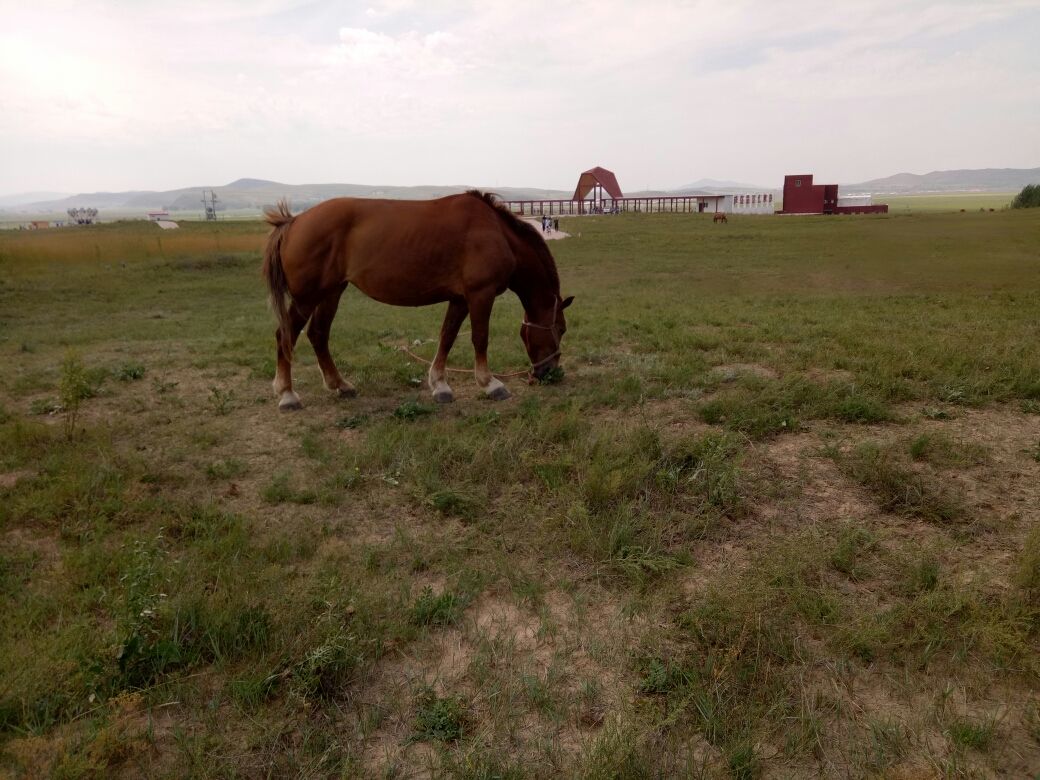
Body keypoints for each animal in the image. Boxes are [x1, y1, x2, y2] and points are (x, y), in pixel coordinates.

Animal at [257, 191, 569, 411]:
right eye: (561, 329)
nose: (550, 373)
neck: (497, 233)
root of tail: (294, 221)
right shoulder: (481, 294)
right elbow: (480, 338)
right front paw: (490, 384)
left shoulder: (459, 299)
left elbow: (447, 336)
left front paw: (440, 385)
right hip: (307, 297)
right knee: (286, 334)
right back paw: (287, 394)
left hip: (331, 292)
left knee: (318, 334)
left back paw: (341, 385)